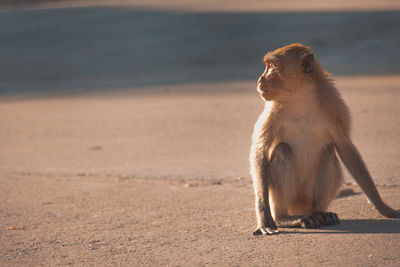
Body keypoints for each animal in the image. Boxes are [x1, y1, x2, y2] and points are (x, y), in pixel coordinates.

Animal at [250, 43, 400, 236]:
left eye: (273, 67)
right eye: (268, 65)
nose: (260, 80)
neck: (300, 97)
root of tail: (302, 208)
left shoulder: (334, 105)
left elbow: (345, 147)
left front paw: (384, 208)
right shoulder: (272, 110)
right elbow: (260, 148)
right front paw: (264, 218)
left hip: (310, 197)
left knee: (328, 152)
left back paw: (320, 213)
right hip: (290, 198)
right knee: (283, 150)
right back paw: (285, 218)